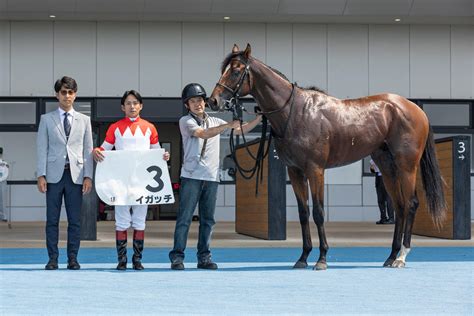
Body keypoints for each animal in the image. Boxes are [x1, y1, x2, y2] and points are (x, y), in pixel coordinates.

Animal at [207, 43, 444, 270]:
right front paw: (303, 258)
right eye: (224, 69)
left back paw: (402, 256)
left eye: (236, 70)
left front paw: (322, 259)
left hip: (407, 166)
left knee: (411, 204)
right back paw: (391, 256)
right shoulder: (295, 172)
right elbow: (303, 213)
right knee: (400, 206)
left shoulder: (315, 170)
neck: (295, 112)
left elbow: (319, 212)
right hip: (387, 167)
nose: (213, 101)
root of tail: (415, 109)